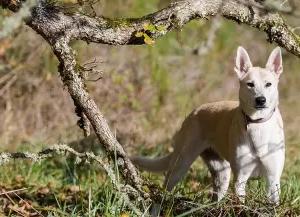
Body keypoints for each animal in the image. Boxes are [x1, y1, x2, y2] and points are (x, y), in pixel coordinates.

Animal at [132, 46, 284, 205]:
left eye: (268, 84)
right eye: (250, 84)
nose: (261, 100)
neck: (257, 124)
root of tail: (194, 112)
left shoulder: (273, 180)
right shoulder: (240, 179)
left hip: (222, 175)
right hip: (180, 167)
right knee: (162, 194)